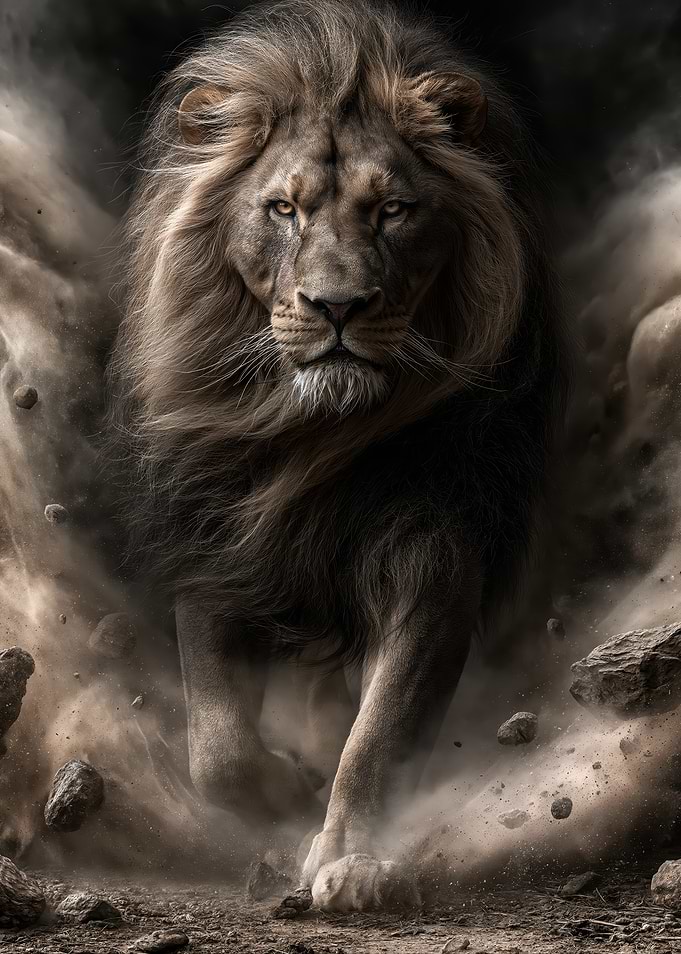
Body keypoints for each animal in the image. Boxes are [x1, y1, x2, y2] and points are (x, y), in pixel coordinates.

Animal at [109, 0, 567, 912]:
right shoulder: (217, 538)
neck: (316, 435)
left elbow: (380, 730)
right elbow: (216, 748)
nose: (337, 306)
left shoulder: (436, 551)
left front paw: (352, 859)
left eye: (392, 210)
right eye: (283, 210)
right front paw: (282, 794)